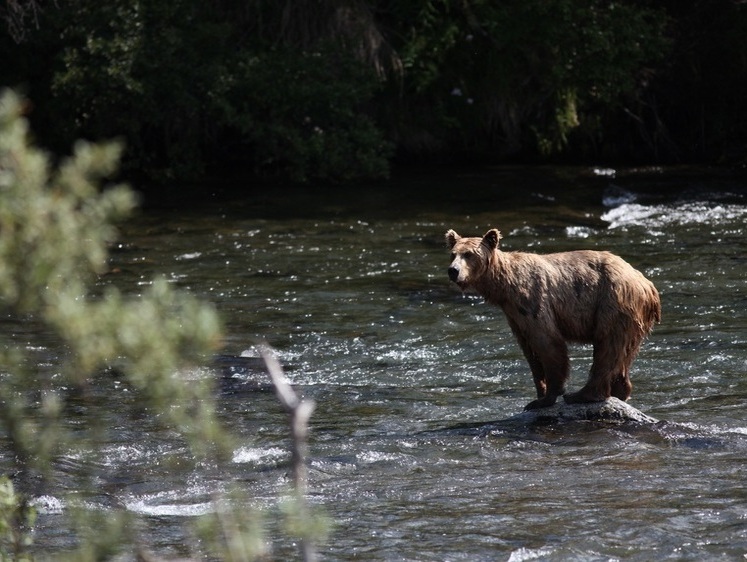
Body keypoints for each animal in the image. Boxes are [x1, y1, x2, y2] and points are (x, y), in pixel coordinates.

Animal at [444, 226, 660, 406]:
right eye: (453, 254)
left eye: (469, 254)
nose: (453, 270)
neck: (504, 288)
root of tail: (648, 285)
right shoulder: (514, 315)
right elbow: (530, 352)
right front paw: (539, 393)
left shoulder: (532, 301)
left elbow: (548, 342)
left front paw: (546, 397)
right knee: (623, 354)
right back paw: (619, 391)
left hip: (612, 303)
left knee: (607, 346)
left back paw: (581, 395)